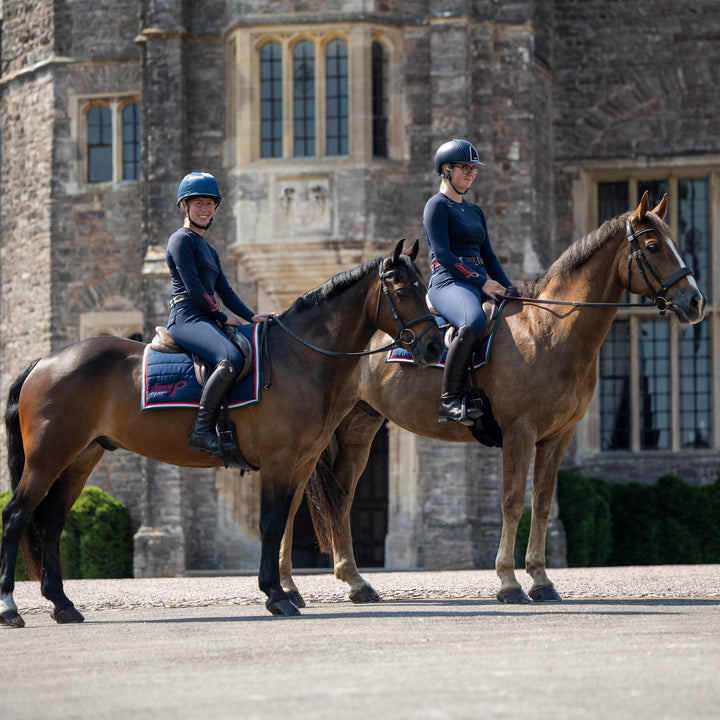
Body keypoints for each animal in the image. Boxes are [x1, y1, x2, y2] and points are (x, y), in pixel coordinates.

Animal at [0, 239, 444, 628]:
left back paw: (62, 604)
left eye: (424, 284)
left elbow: (282, 521)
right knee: (17, 516)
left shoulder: (300, 463)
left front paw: (281, 591)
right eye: (401, 288)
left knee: (50, 523)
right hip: (47, 459)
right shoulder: (279, 462)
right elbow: (270, 524)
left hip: (79, 459)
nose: (435, 347)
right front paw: (277, 596)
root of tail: (45, 361)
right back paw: (10, 608)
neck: (298, 358)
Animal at [278, 193, 704, 608]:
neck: (549, 331)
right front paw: (508, 581)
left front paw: (541, 580)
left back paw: (354, 581)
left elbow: (542, 502)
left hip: (359, 427)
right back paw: (288, 586)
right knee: (294, 497)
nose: (696, 302)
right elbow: (512, 501)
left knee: (341, 497)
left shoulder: (558, 437)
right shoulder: (520, 432)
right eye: (653, 246)